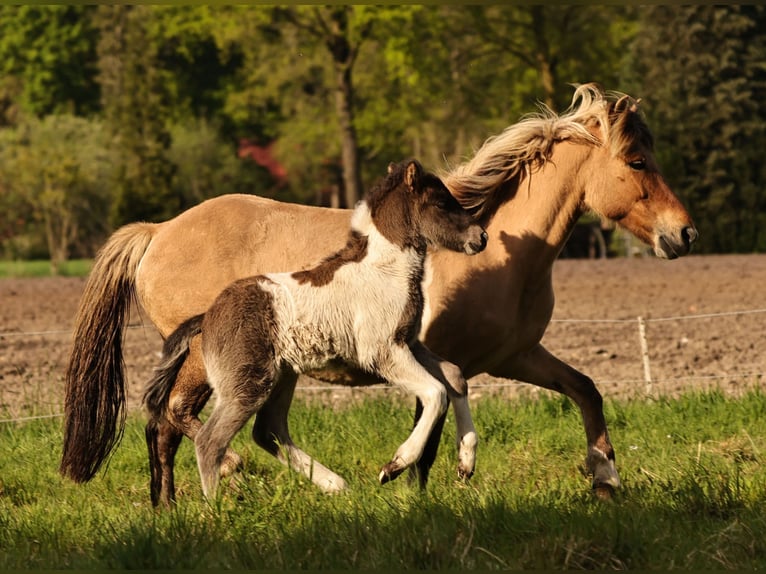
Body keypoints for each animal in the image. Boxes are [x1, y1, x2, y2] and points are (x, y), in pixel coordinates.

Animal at [142, 159, 488, 498]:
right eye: (441, 202)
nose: (480, 237)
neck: (383, 270)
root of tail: (207, 316)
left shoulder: (408, 343)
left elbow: (454, 376)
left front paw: (466, 462)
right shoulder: (382, 352)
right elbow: (435, 392)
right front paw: (394, 466)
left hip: (283, 375)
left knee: (267, 430)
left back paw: (335, 484)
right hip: (248, 384)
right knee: (211, 440)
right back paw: (216, 508)